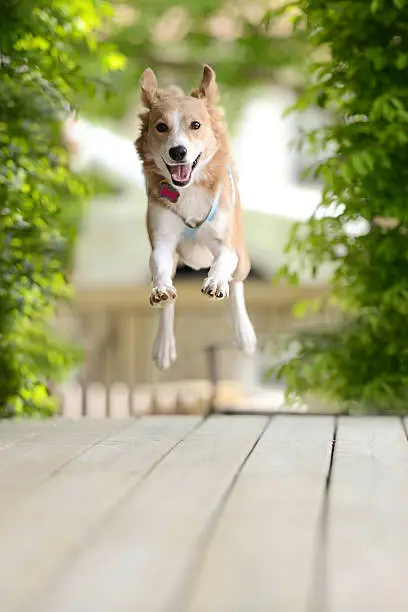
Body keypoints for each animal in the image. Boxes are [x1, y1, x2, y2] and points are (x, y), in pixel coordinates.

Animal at [137, 63, 258, 368]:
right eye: (161, 127)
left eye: (195, 125)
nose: (178, 151)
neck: (188, 189)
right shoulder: (163, 242)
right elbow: (160, 269)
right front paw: (161, 291)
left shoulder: (225, 243)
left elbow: (223, 262)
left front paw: (215, 282)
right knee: (168, 299)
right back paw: (164, 342)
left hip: (243, 255)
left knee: (237, 283)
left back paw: (243, 332)